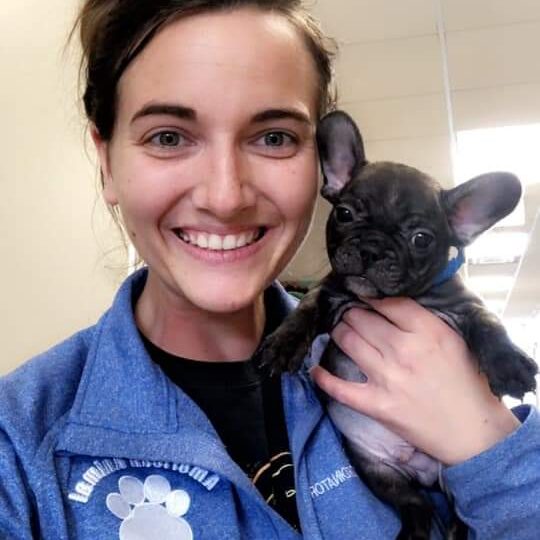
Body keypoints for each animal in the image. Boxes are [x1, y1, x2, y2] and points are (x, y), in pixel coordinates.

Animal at [260, 109, 536, 540]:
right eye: (344, 214)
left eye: (421, 238)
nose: (372, 248)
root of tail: (419, 469)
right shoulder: (330, 293)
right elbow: (304, 310)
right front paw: (284, 345)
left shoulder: (466, 306)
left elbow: (490, 324)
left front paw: (508, 365)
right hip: (374, 467)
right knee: (415, 505)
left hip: (453, 470)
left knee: (457, 513)